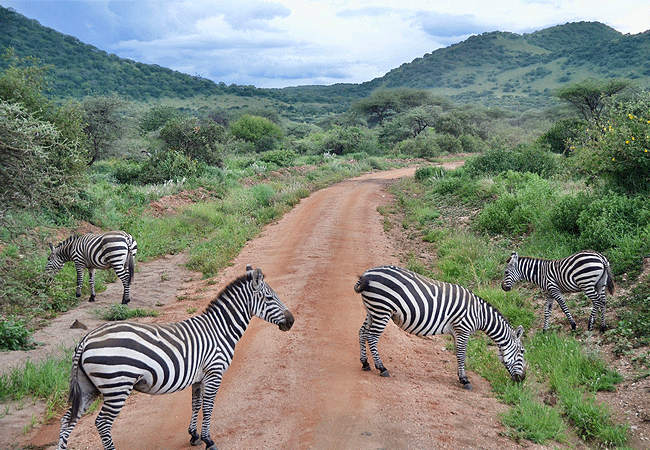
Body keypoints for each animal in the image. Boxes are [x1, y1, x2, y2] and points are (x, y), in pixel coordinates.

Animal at [55, 264, 294, 450]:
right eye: (270, 297)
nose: (291, 321)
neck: (220, 329)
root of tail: (86, 339)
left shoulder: (199, 376)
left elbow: (196, 404)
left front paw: (194, 436)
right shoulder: (214, 372)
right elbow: (208, 406)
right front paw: (209, 440)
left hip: (89, 387)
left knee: (67, 420)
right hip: (117, 385)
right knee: (102, 423)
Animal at [352, 266, 524, 388]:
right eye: (522, 351)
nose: (522, 379)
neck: (479, 315)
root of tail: (366, 274)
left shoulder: (456, 332)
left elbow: (458, 354)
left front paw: (460, 376)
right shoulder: (463, 329)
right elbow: (462, 354)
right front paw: (465, 380)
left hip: (372, 309)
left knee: (362, 332)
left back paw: (365, 363)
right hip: (382, 309)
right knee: (372, 337)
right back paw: (381, 368)